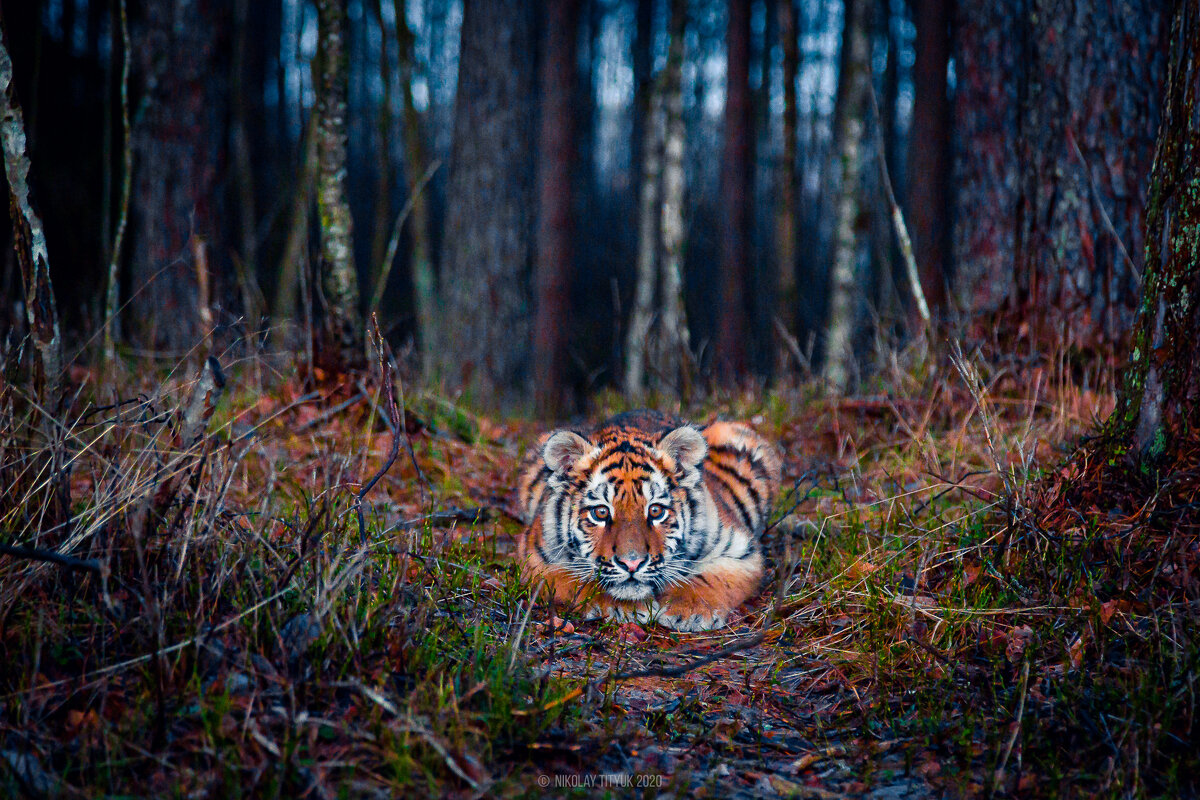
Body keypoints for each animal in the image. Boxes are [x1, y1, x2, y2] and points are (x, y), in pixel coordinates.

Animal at [513, 412, 777, 633]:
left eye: (656, 511)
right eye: (600, 512)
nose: (632, 564)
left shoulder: (742, 552)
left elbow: (709, 579)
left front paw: (690, 610)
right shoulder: (536, 559)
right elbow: (578, 581)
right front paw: (624, 607)